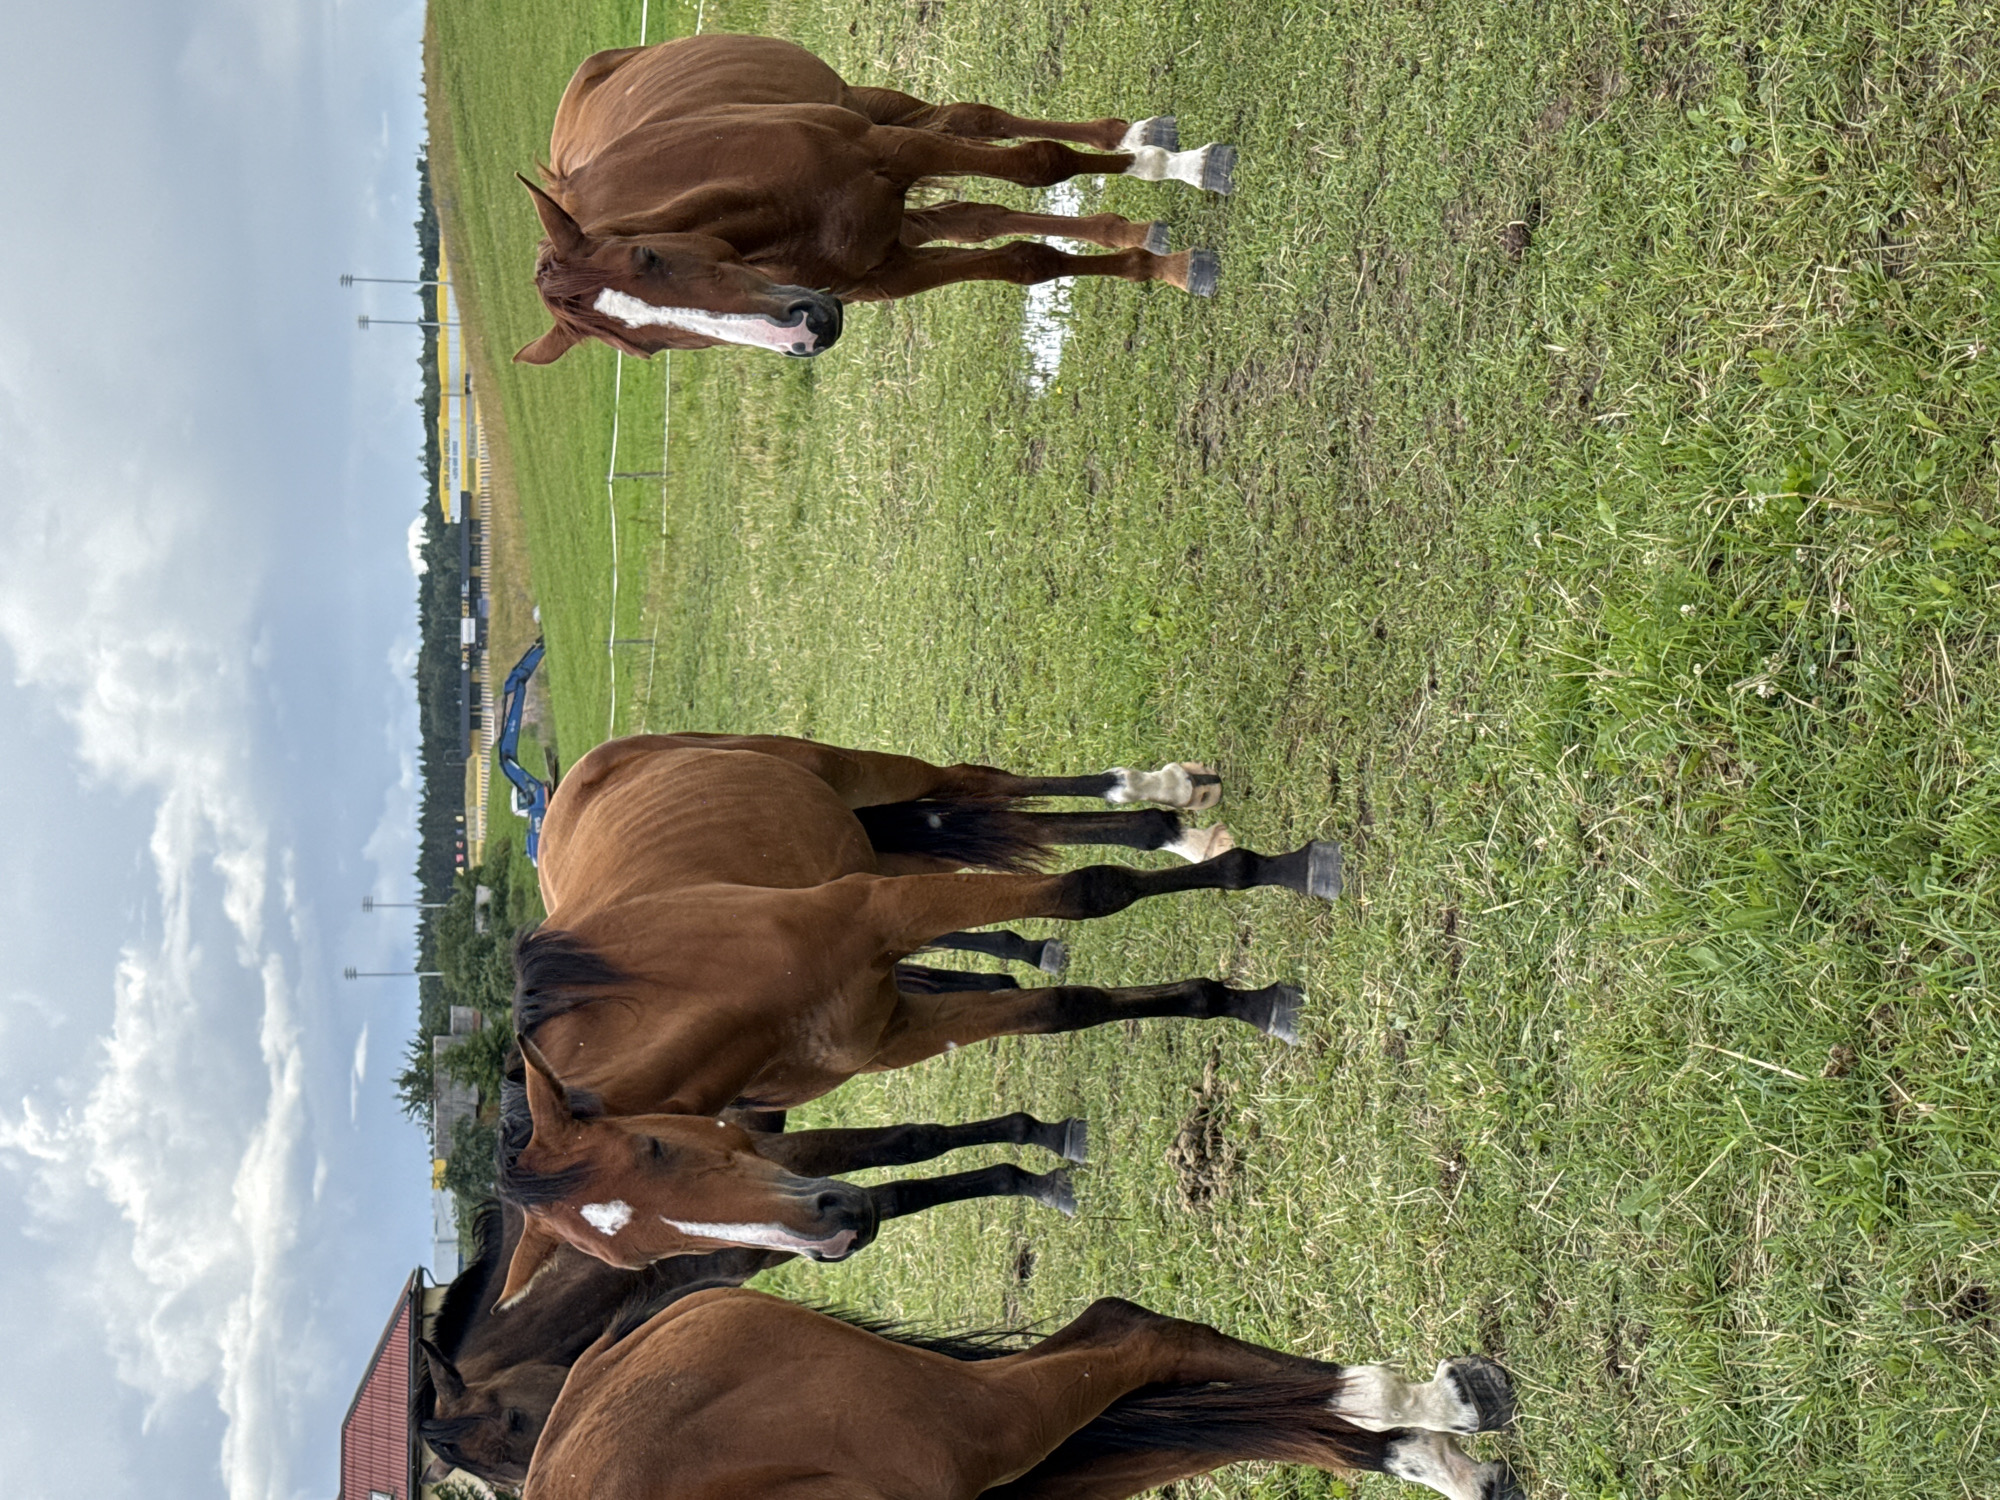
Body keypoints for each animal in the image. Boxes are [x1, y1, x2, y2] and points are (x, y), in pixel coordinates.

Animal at [495, 732, 1341, 1303]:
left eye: (657, 1148)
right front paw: (1235, 1000)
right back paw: (1175, 827)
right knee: (977, 817)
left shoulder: (889, 911)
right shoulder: (894, 1032)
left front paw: (1281, 876)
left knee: (986, 783)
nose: (835, 1230)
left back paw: (1168, 794)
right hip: (877, 841)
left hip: (859, 778)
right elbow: (1062, 1010)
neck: (708, 985)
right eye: (643, 1259)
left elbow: (1093, 891)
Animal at [514, 34, 1240, 364]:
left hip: (870, 105)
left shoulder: (897, 152)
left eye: (649, 257)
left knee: (980, 122)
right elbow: (1026, 261)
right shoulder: (891, 272)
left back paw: (1148, 147)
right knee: (978, 218)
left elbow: (1040, 162)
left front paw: (1180, 168)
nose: (806, 330)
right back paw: (1136, 226)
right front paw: (1162, 266)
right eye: (650, 350)